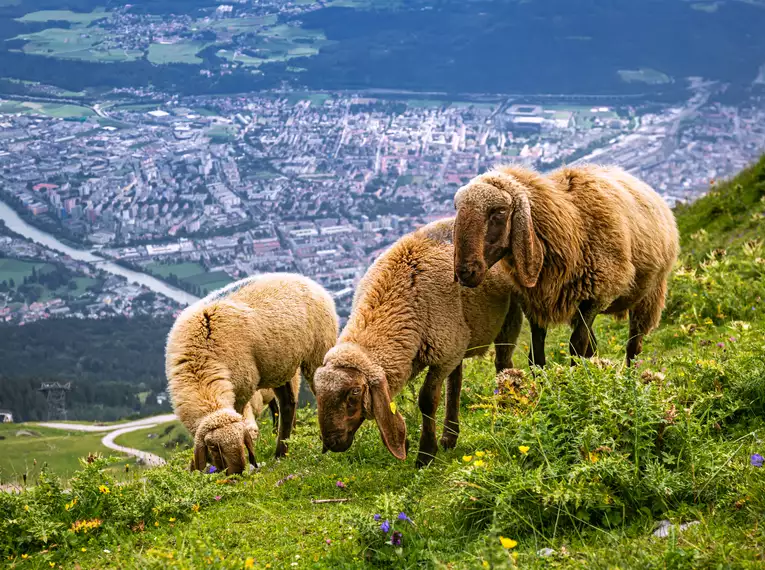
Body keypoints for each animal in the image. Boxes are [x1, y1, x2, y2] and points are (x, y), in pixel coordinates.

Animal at [169, 272, 338, 472]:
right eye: (213, 447)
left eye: (242, 440)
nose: (237, 473)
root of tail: (304, 278)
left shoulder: (241, 393)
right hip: (280, 367)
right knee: (287, 405)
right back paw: (281, 452)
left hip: (318, 352)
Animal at [314, 217, 524, 466]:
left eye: (355, 392)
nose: (332, 442)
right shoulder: (436, 351)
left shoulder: (442, 355)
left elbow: (427, 400)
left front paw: (425, 454)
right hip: (458, 339)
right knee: (456, 382)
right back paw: (449, 436)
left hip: (506, 316)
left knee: (502, 363)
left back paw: (504, 409)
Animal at [450, 163, 676, 368]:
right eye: (458, 210)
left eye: (500, 211)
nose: (465, 271)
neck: (573, 226)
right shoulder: (535, 302)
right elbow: (536, 356)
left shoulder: (595, 298)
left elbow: (577, 347)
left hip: (650, 293)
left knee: (633, 346)